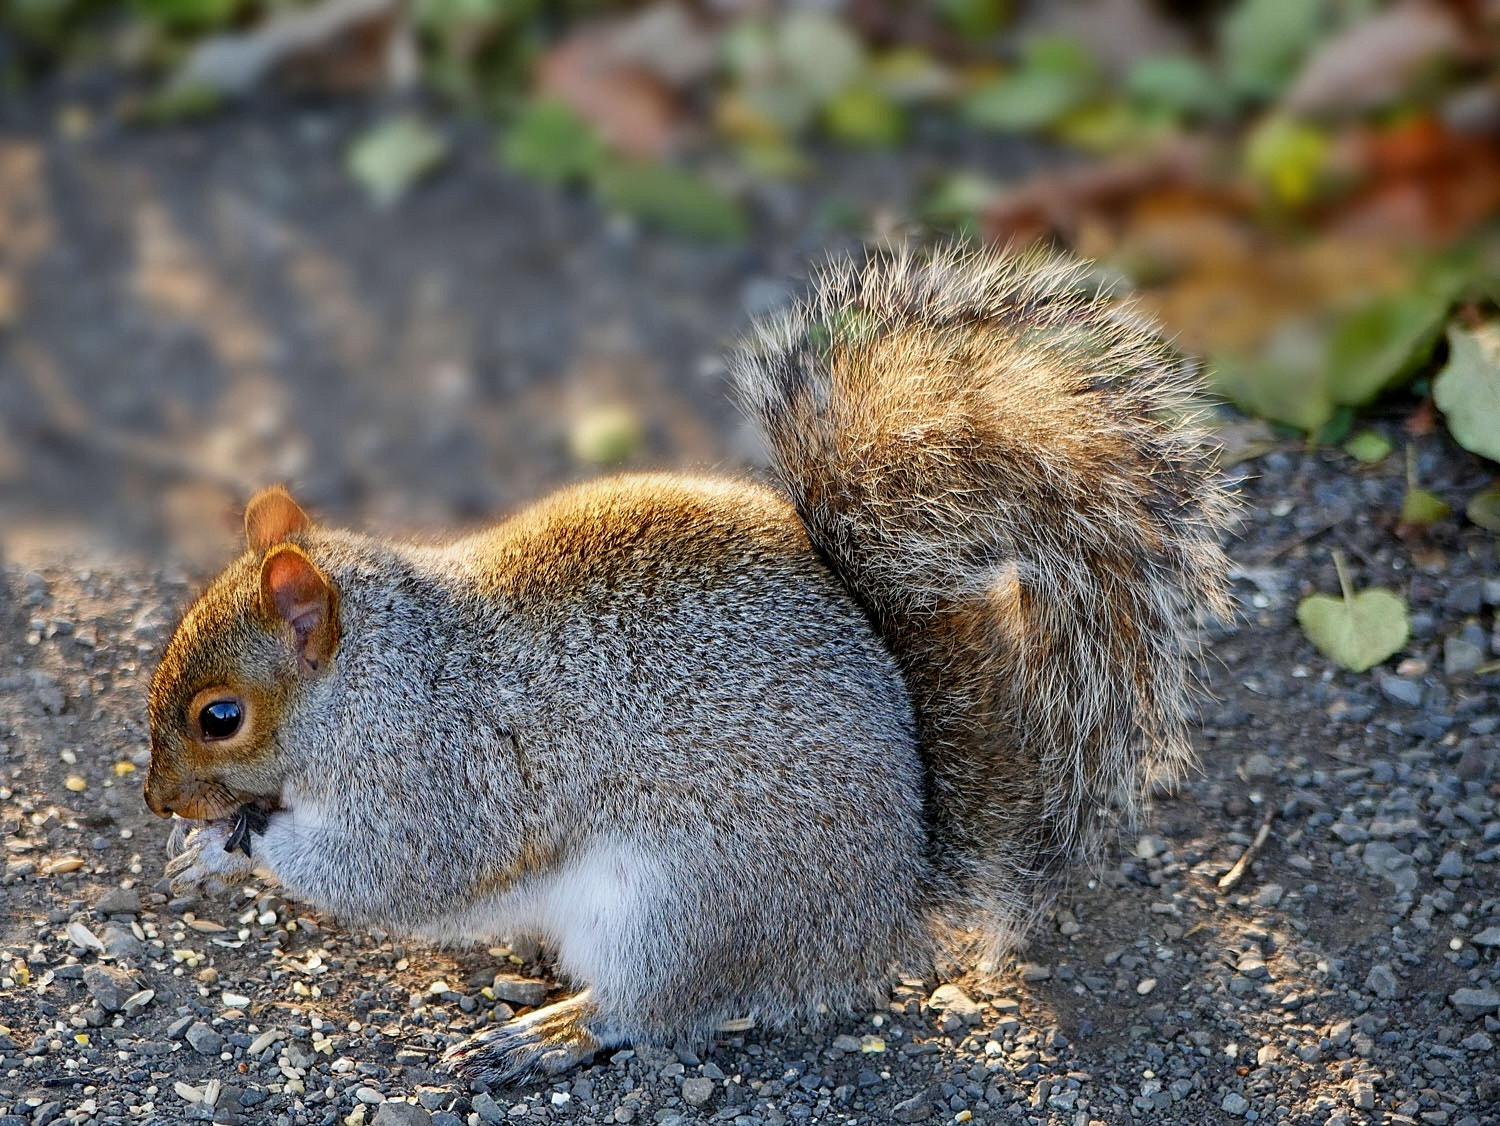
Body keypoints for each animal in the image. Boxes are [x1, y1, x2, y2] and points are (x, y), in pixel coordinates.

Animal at [146, 244, 1236, 1085]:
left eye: (219, 717)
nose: (158, 801)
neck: (385, 677)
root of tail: (884, 910)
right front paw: (201, 850)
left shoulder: (449, 775)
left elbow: (403, 870)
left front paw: (244, 843)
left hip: (682, 904)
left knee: (659, 1006)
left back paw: (559, 1029)